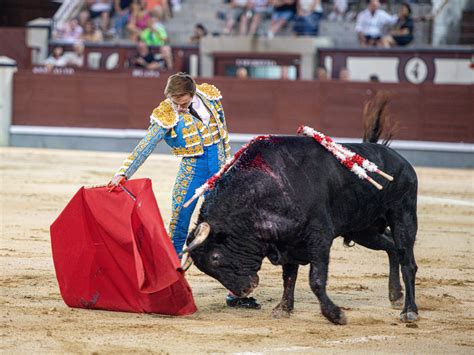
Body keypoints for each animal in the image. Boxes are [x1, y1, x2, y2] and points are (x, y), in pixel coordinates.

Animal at [185, 136, 418, 326]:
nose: (244, 290)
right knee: (391, 247)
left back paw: (409, 311)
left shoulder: (319, 237)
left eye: (215, 258)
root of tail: (401, 160)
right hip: (363, 230)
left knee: (408, 262)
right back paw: (395, 295)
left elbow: (316, 279)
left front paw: (335, 315)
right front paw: (284, 309)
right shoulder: (287, 242)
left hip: (403, 215)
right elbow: (289, 277)